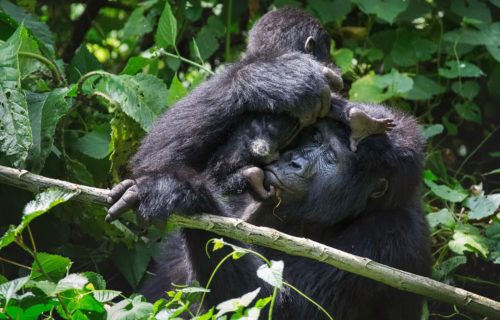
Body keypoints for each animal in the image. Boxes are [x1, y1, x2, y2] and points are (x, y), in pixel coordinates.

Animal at [143, 96, 432, 318]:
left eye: (331, 158)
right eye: (315, 138)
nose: (294, 161)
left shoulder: (389, 233)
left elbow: (272, 307)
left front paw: (184, 194)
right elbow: (156, 158)